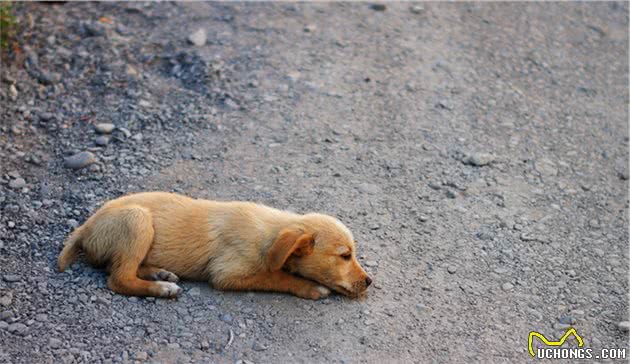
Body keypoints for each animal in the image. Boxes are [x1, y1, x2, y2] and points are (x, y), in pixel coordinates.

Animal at [56, 192, 372, 300]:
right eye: (345, 256)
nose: (369, 282)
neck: (270, 234)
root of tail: (86, 227)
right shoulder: (227, 274)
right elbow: (277, 276)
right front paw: (310, 287)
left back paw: (160, 273)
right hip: (137, 220)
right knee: (119, 278)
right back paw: (162, 288)